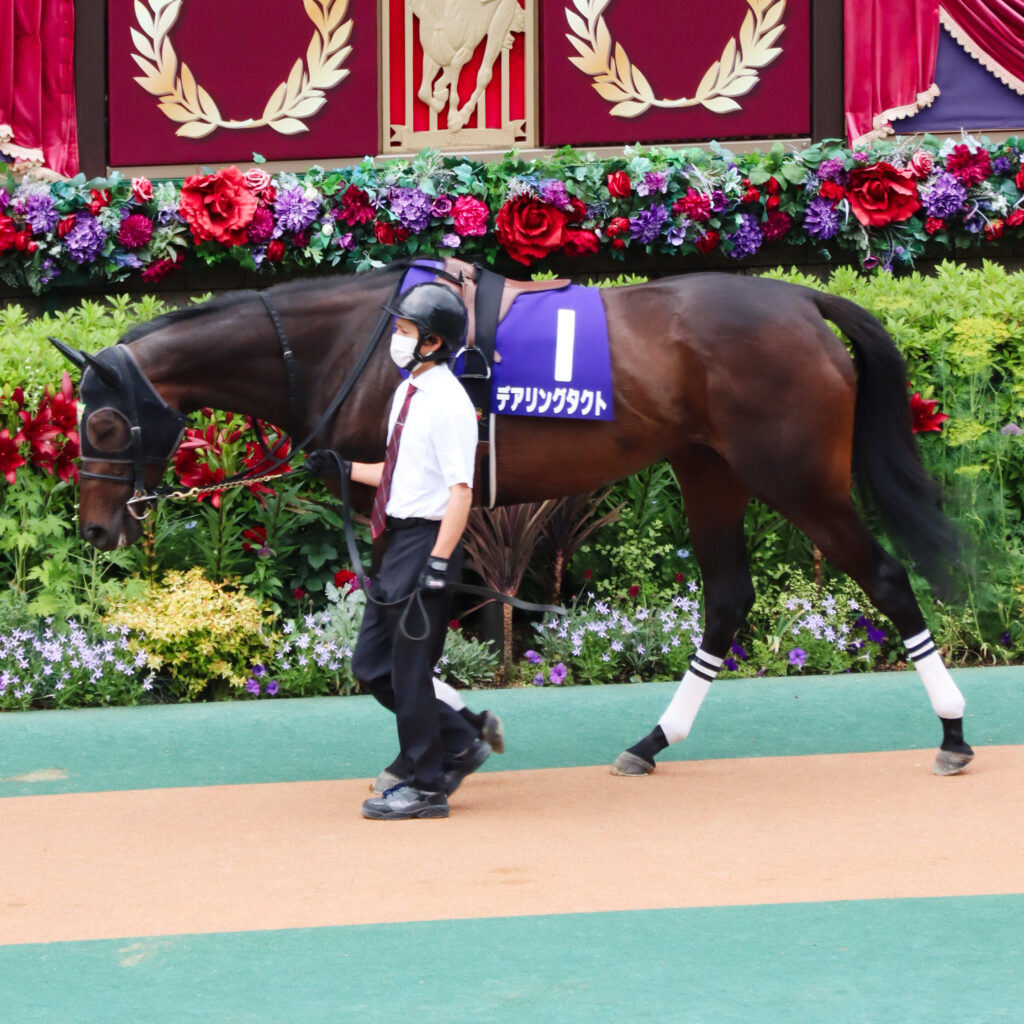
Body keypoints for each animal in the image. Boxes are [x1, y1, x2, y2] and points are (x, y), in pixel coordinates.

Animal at [55, 262, 975, 778]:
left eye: (102, 427)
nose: (98, 531)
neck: (346, 346)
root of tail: (802, 300)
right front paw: (462, 722)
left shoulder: (416, 500)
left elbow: (409, 625)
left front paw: (450, 731)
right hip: (708, 469)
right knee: (727, 599)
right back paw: (652, 741)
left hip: (795, 478)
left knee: (886, 579)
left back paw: (955, 732)